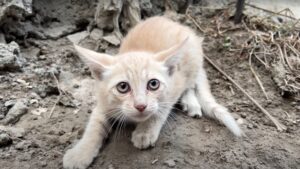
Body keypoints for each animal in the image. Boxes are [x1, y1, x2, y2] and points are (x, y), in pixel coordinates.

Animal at [63, 16, 244, 169]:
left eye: (153, 84)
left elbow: (161, 109)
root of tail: (174, 22)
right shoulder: (103, 102)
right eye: (123, 87)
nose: (140, 106)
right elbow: (94, 126)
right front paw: (80, 153)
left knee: (191, 84)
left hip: (191, 61)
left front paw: (145, 131)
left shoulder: (174, 86)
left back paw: (191, 102)